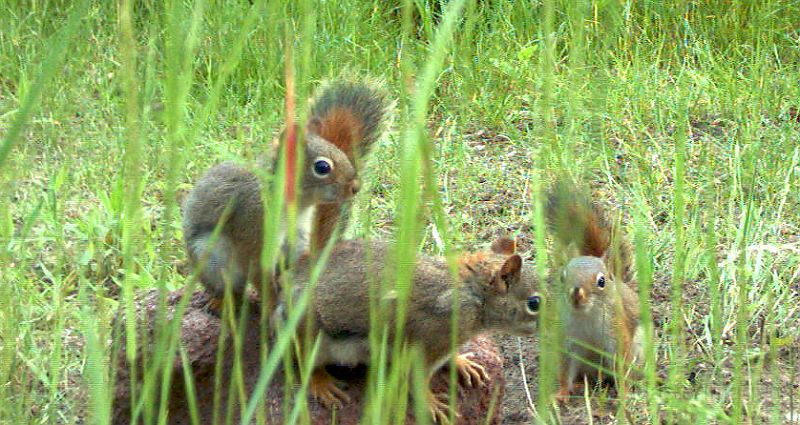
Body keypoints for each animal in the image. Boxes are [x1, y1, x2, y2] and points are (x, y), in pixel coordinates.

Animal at [182, 81, 394, 310]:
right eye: (322, 167)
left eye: (340, 151)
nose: (356, 187)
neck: (297, 204)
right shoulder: (254, 225)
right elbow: (258, 270)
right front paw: (272, 305)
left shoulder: (298, 234)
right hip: (211, 260)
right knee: (230, 289)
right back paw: (220, 301)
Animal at [276, 237, 544, 422]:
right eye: (534, 303)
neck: (473, 294)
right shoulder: (428, 340)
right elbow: (418, 378)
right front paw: (431, 403)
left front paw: (461, 363)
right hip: (309, 334)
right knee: (304, 361)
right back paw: (321, 382)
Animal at [548, 181, 648, 400]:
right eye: (562, 277)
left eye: (601, 281)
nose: (576, 295)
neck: (586, 316)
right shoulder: (566, 338)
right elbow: (565, 369)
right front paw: (561, 394)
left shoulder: (616, 333)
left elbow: (621, 365)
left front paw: (624, 395)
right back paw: (579, 385)